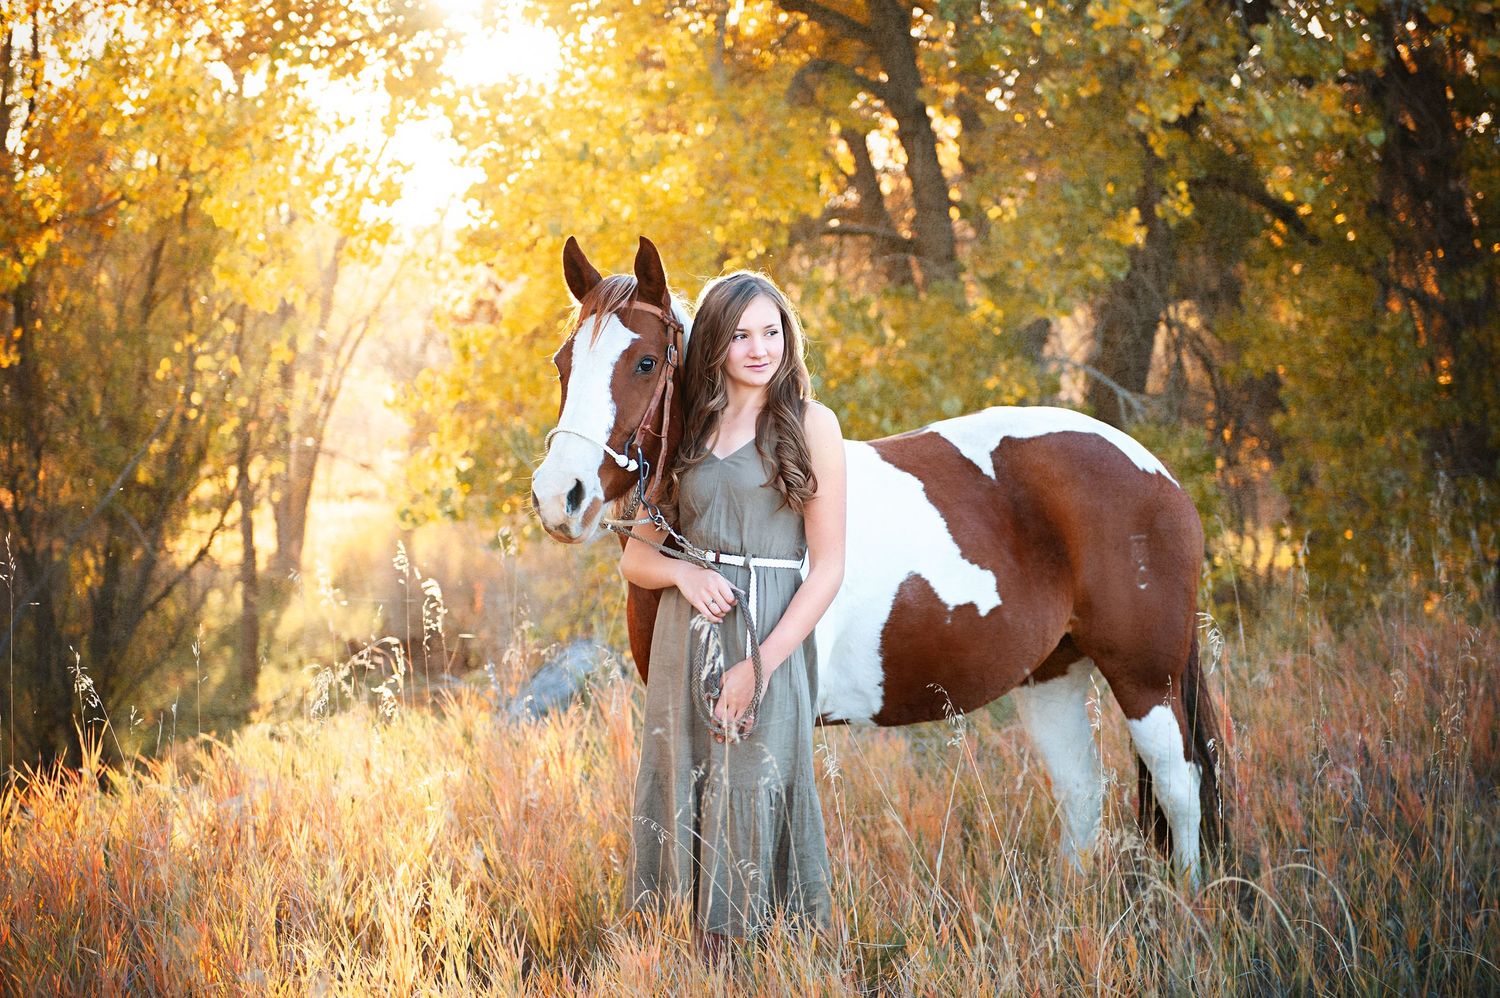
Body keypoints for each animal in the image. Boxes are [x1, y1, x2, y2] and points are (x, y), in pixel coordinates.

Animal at [529, 236, 1226, 881]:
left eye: (646, 363)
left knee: (1180, 788)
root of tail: (1154, 472)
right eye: (563, 364)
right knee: (1082, 793)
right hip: (1052, 674)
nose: (561, 496)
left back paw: (1188, 907)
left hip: (1147, 679)